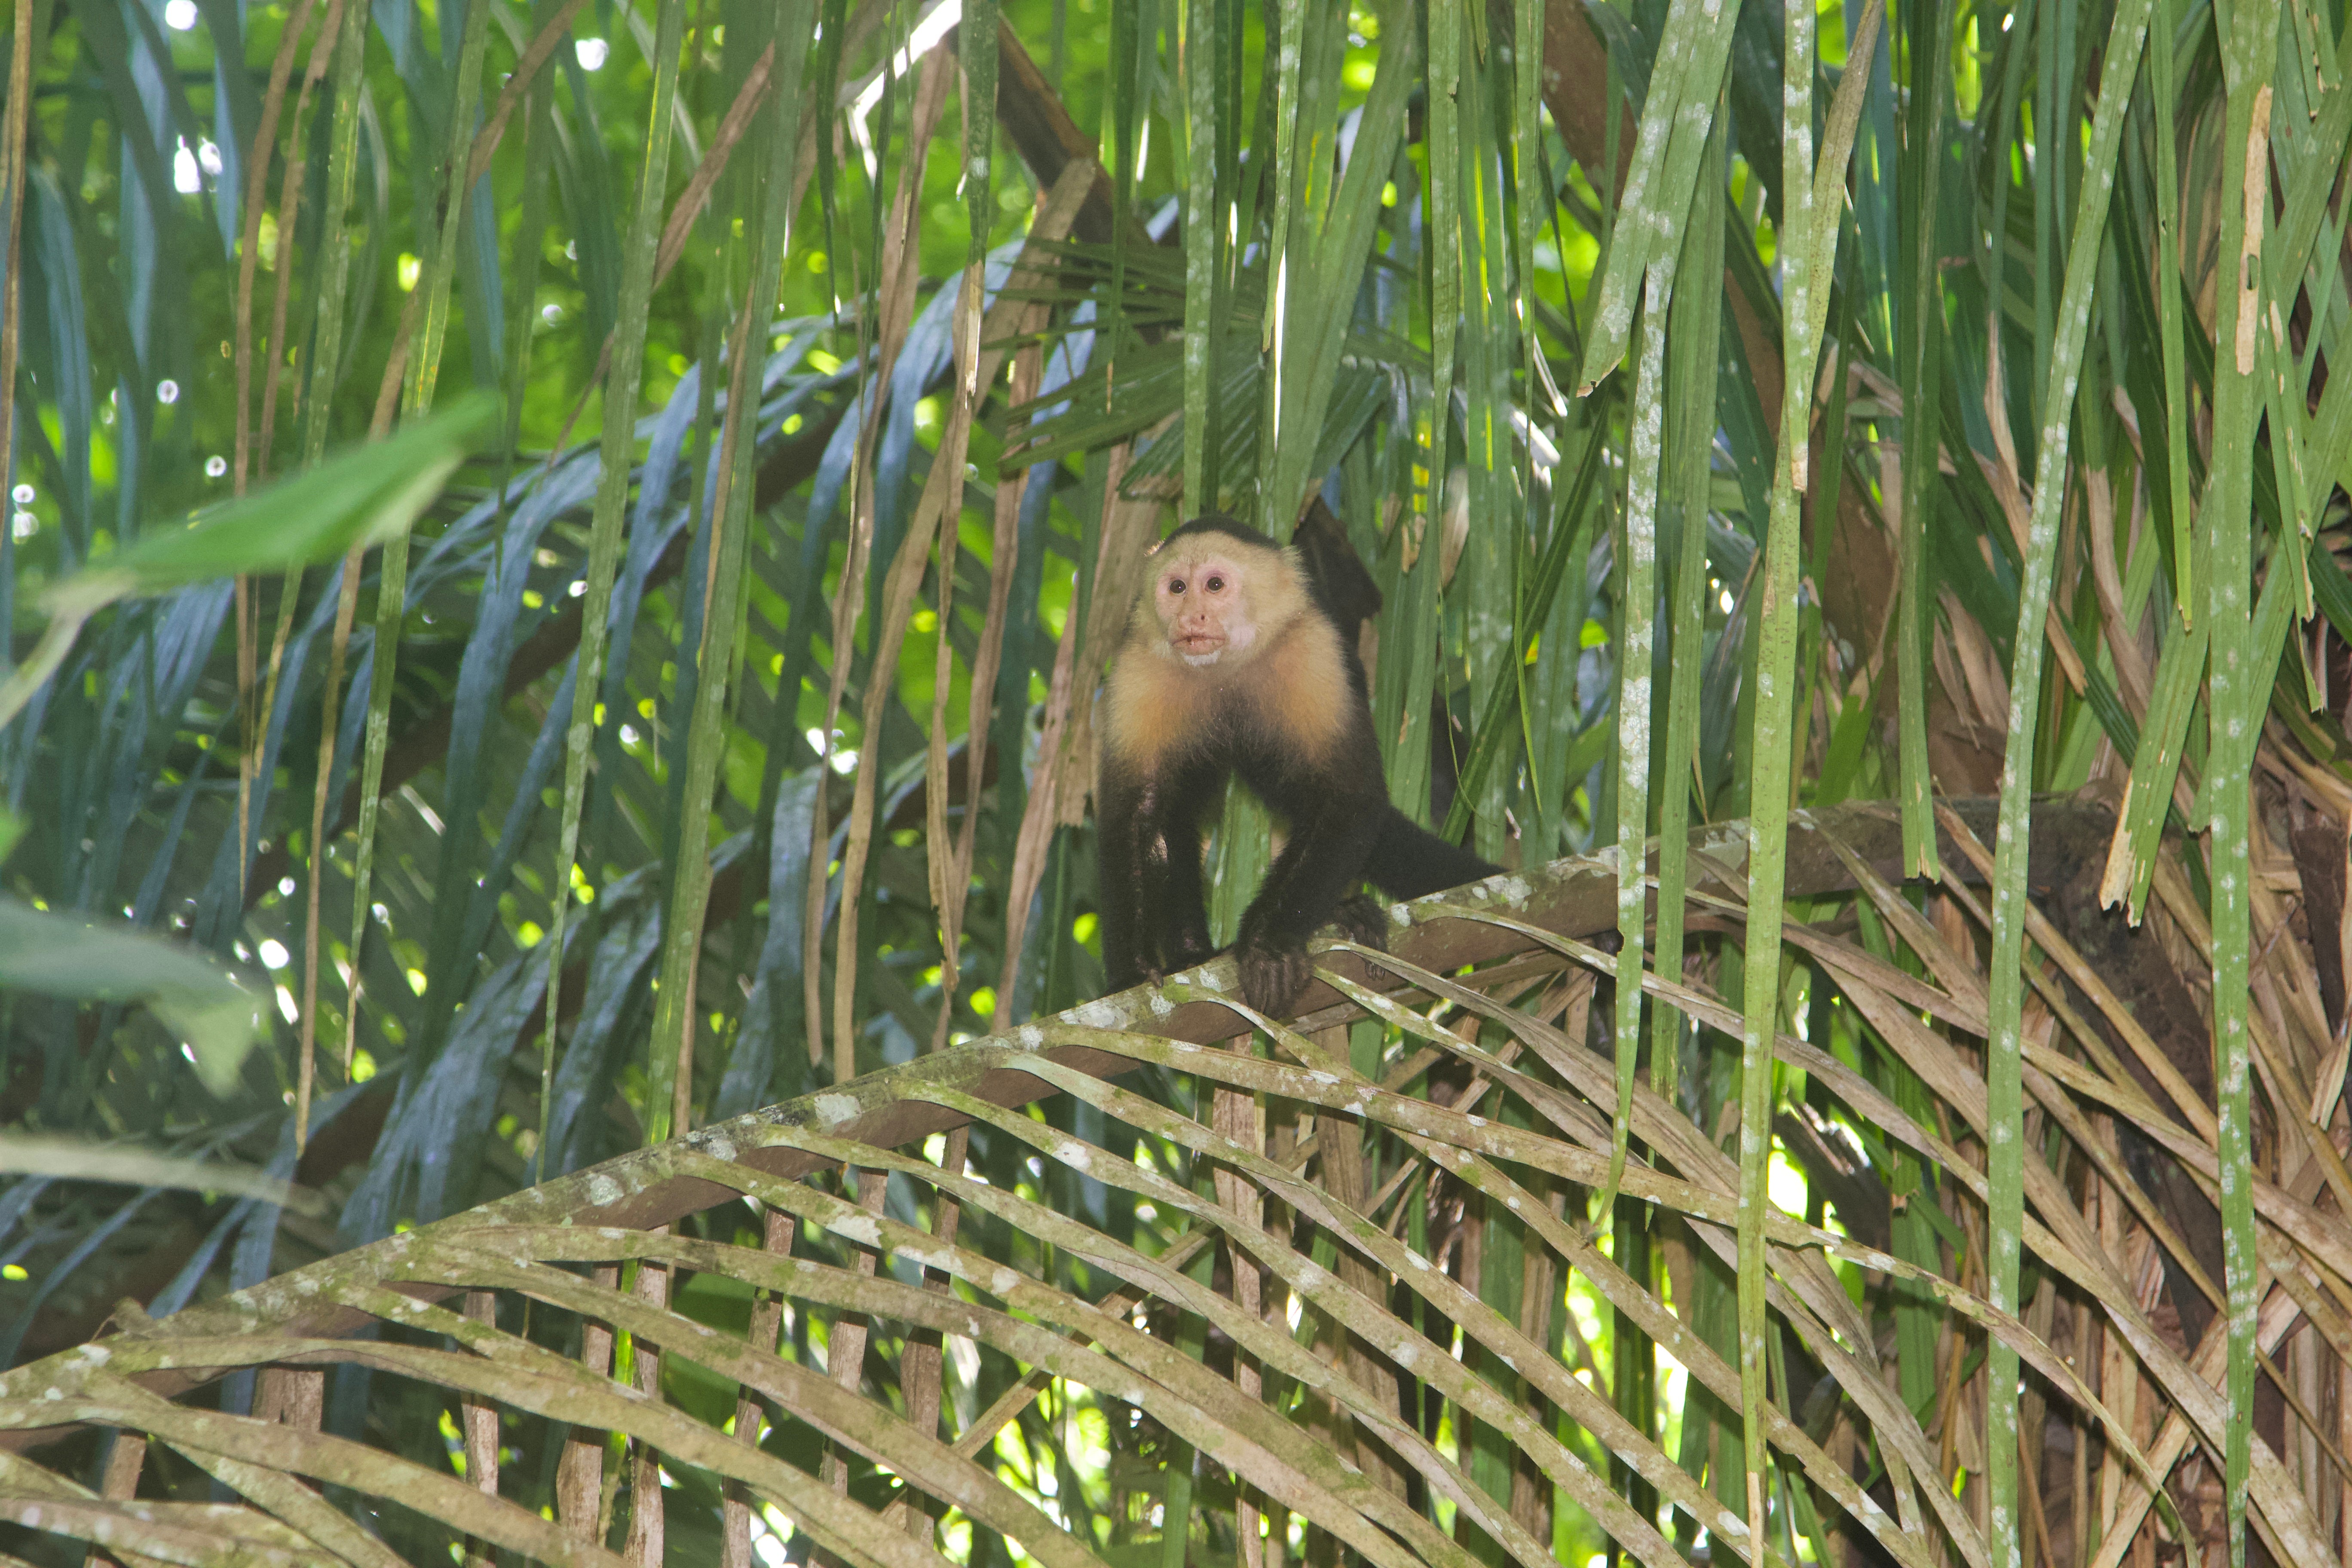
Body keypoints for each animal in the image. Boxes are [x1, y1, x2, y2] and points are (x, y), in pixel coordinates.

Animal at [1095, 512, 1503, 1015]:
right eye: (1176, 588)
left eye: (1214, 585)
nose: (1191, 617)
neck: (1224, 671)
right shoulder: (1139, 669)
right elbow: (1138, 815)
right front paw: (1133, 972)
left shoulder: (1313, 651)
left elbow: (1346, 796)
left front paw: (1267, 944)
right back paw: (1192, 955)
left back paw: (1343, 914)